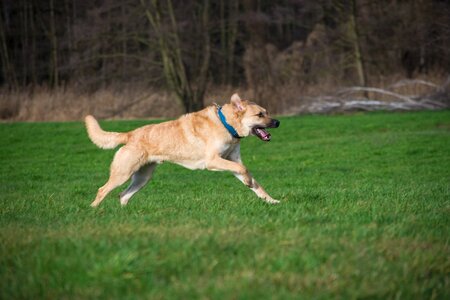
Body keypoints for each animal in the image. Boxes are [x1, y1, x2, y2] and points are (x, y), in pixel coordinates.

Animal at [85, 94, 280, 206]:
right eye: (260, 115)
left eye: (267, 112)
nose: (278, 122)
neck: (226, 124)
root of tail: (130, 134)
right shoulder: (213, 161)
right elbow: (243, 169)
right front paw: (248, 182)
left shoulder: (231, 160)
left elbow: (254, 182)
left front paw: (271, 200)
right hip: (123, 173)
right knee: (102, 190)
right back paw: (95, 212)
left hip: (143, 177)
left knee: (123, 195)